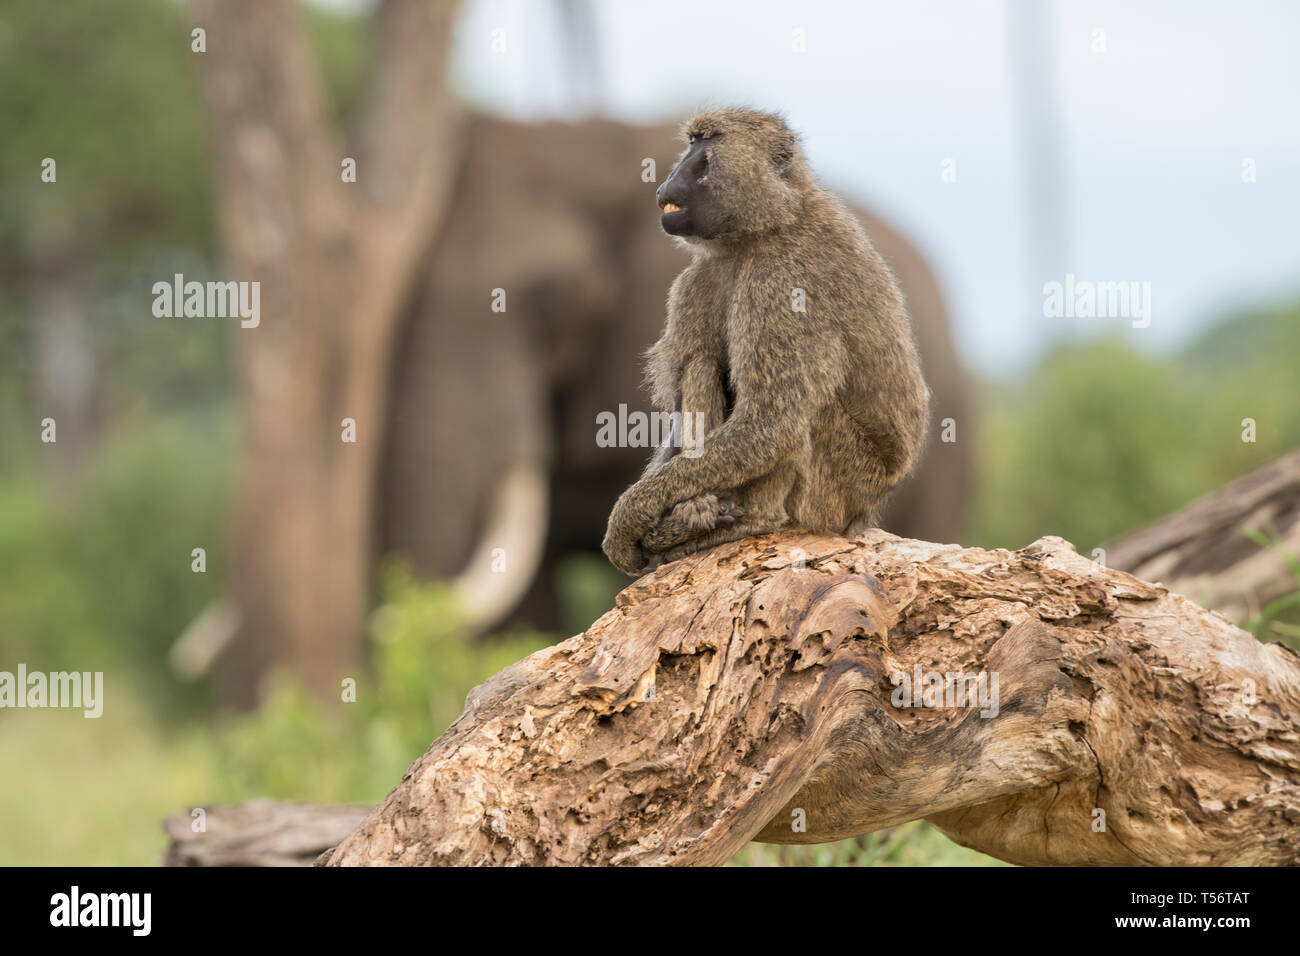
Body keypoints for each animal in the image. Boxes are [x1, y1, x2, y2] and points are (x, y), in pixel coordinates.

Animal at [377, 115, 967, 632]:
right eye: (690, 146)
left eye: (556, 302)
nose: (665, 182)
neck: (763, 228)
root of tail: (861, 517)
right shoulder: (695, 277)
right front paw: (652, 522)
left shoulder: (785, 282)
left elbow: (769, 422)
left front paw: (626, 523)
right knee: (701, 365)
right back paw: (695, 518)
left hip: (841, 487)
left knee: (794, 421)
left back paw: (753, 520)